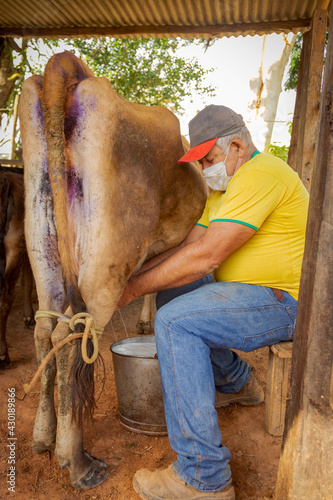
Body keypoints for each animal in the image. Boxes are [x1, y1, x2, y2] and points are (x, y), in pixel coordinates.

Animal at [18, 49, 208, 488]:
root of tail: (68, 69)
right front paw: (145, 321)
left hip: (43, 241)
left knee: (45, 331)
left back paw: (42, 438)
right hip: (103, 266)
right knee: (72, 338)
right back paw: (76, 461)